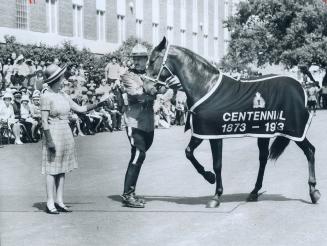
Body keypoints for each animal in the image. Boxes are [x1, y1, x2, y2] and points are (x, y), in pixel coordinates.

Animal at [145, 37, 322, 208]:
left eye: (153, 60)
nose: (147, 88)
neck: (205, 86)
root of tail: (300, 87)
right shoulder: (204, 132)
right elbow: (189, 153)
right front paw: (210, 177)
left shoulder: (212, 133)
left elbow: (216, 163)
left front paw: (215, 195)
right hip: (265, 132)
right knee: (263, 158)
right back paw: (254, 192)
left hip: (294, 130)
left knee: (310, 151)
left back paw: (313, 192)